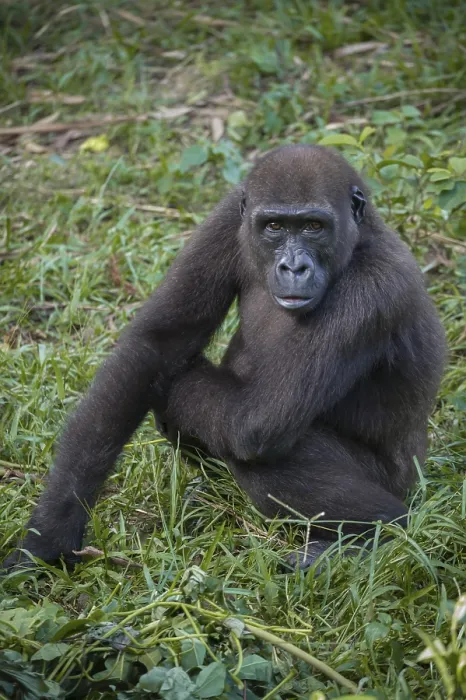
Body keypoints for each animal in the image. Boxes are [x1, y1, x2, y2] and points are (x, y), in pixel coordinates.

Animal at [2, 145, 446, 571]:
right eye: (273, 227)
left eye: (314, 227)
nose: (294, 266)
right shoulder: (230, 216)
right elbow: (155, 346)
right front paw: (51, 533)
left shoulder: (372, 289)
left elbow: (254, 420)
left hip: (398, 484)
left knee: (258, 452)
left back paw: (379, 532)